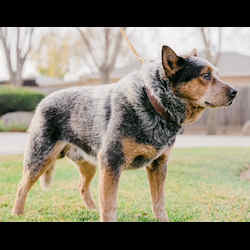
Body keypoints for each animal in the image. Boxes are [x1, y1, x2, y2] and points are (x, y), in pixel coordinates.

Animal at [12, 45, 237, 221]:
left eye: (217, 74)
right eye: (205, 76)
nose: (235, 92)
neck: (153, 104)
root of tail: (44, 99)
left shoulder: (159, 165)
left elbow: (159, 202)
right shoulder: (112, 161)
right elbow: (110, 205)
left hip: (90, 164)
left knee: (82, 187)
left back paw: (92, 210)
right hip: (40, 157)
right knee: (22, 186)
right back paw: (17, 213)